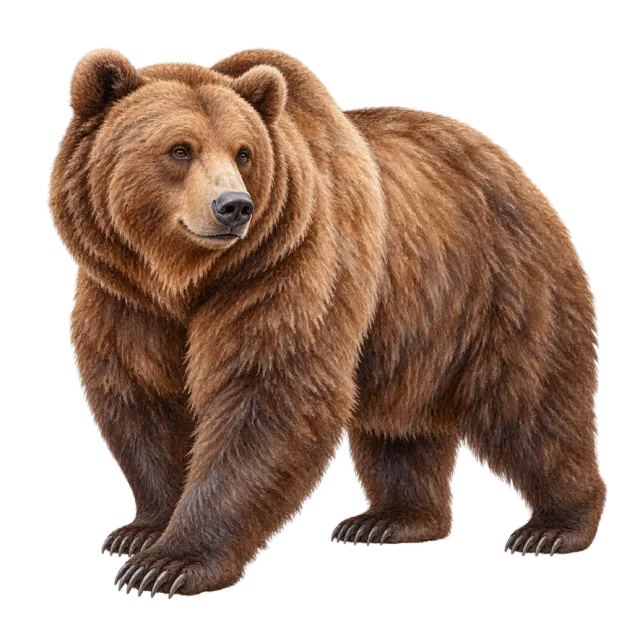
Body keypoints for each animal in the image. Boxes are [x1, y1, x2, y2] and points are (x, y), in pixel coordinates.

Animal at [48, 47, 606, 598]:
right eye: (180, 149)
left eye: (244, 153)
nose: (235, 207)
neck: (185, 278)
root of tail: (517, 171)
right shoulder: (125, 299)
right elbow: (142, 396)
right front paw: (141, 532)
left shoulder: (286, 265)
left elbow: (269, 394)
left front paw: (171, 563)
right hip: (415, 328)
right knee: (401, 427)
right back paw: (389, 520)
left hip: (502, 286)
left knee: (534, 403)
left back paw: (553, 529)